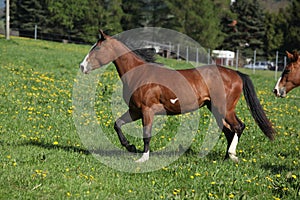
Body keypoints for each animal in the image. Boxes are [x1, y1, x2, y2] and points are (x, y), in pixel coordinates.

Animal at [79, 30, 274, 164]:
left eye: (97, 48)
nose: (82, 66)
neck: (139, 74)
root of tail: (236, 73)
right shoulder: (135, 111)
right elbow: (117, 124)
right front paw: (131, 147)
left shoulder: (147, 111)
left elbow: (146, 134)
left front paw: (143, 158)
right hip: (216, 109)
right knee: (228, 130)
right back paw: (226, 157)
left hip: (224, 109)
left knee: (238, 127)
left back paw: (232, 156)